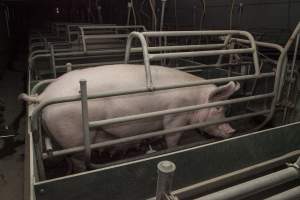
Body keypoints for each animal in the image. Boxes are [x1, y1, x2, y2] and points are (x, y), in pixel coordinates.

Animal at [19, 63, 239, 167]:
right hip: (72, 136)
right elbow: (172, 138)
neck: (195, 99)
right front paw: (170, 149)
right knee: (79, 160)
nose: (233, 131)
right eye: (219, 109)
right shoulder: (174, 117)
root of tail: (44, 96)